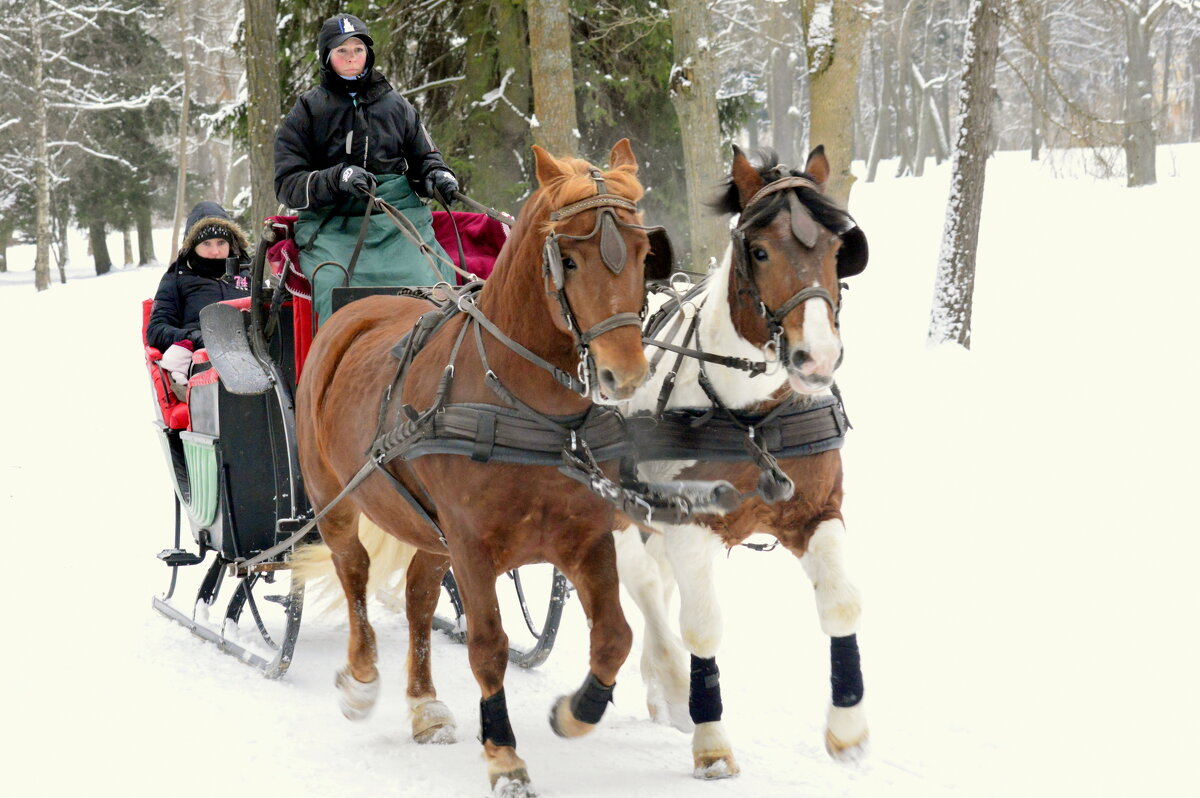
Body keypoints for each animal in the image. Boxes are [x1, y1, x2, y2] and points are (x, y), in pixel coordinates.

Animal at [291, 139, 667, 792]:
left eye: (645, 254)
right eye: (568, 259)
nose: (624, 374)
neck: (525, 406)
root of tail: (350, 311)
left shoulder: (585, 537)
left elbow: (614, 637)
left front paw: (576, 712)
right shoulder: (471, 544)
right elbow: (489, 644)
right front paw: (503, 755)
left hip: (429, 529)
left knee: (419, 597)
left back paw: (424, 705)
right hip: (333, 498)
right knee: (354, 572)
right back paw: (362, 681)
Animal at [614, 146, 868, 772]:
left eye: (838, 251)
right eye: (760, 250)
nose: (817, 357)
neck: (753, 417)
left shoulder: (816, 511)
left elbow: (842, 605)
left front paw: (848, 729)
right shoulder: (692, 526)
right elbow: (702, 628)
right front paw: (711, 741)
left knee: (655, 580)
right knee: (643, 582)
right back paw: (671, 681)